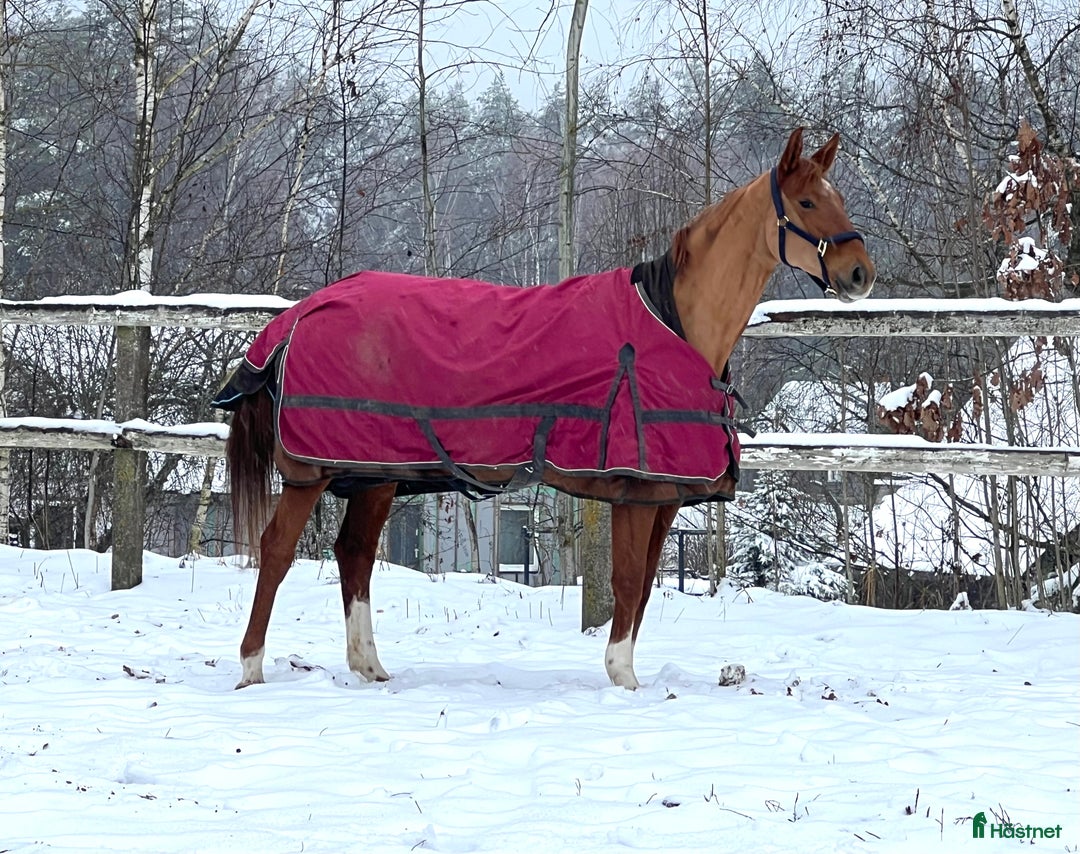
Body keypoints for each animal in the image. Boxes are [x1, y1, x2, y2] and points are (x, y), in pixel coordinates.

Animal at [214, 127, 875, 691]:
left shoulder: (664, 498)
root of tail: (301, 314)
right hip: (313, 472)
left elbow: (643, 588)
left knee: (354, 554)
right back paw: (251, 667)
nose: (860, 274)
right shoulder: (637, 492)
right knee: (275, 552)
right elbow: (627, 581)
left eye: (837, 197)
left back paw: (369, 667)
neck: (675, 324)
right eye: (808, 202)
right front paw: (622, 678)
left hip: (376, 474)